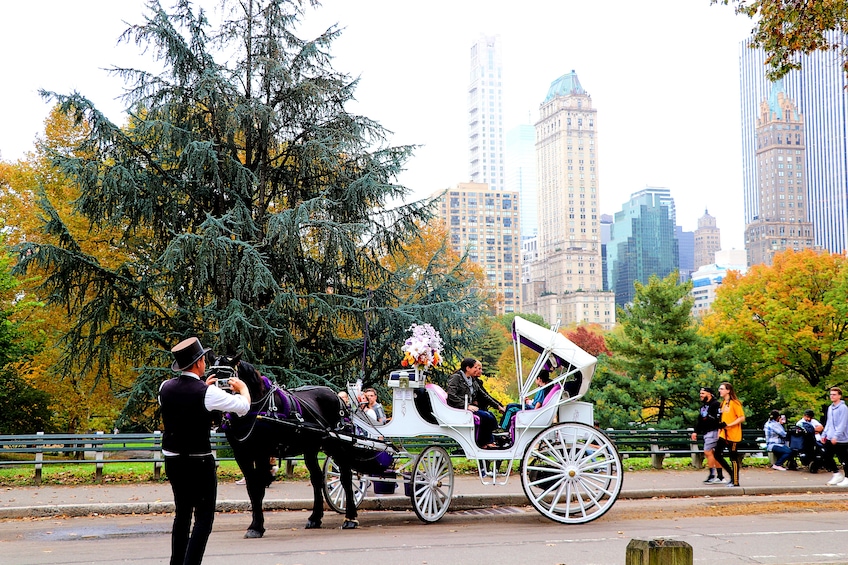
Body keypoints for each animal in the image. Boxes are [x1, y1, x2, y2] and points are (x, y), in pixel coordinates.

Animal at [212, 354, 364, 536]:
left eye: (227, 380)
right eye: (211, 376)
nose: (215, 412)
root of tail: (337, 396)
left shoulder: (262, 453)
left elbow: (259, 487)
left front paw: (257, 526)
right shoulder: (242, 454)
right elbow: (252, 488)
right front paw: (255, 524)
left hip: (337, 447)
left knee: (346, 478)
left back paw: (351, 518)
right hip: (311, 448)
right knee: (317, 478)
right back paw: (315, 517)